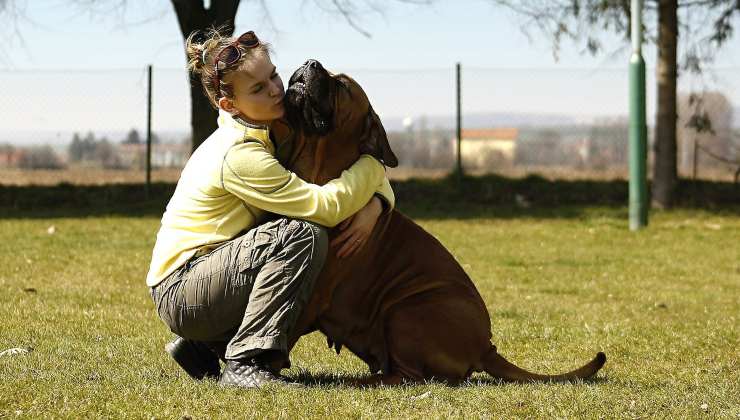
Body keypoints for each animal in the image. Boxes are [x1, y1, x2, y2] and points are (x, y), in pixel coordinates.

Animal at [274, 59, 604, 384]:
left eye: (342, 85)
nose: (310, 62)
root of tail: (486, 347)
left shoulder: (311, 294)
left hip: (405, 311)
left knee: (407, 376)